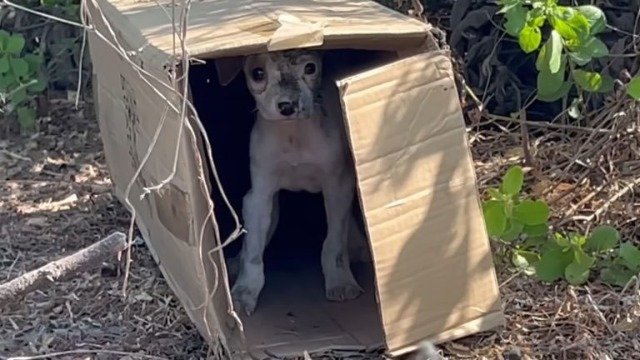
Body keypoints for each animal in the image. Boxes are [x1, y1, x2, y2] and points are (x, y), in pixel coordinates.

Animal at [231, 48, 368, 316]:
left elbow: (334, 243)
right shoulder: (259, 197)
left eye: (310, 68)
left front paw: (341, 281)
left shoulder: (338, 186)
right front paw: (244, 292)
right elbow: (253, 252)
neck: (293, 136)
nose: (287, 106)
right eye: (257, 73)